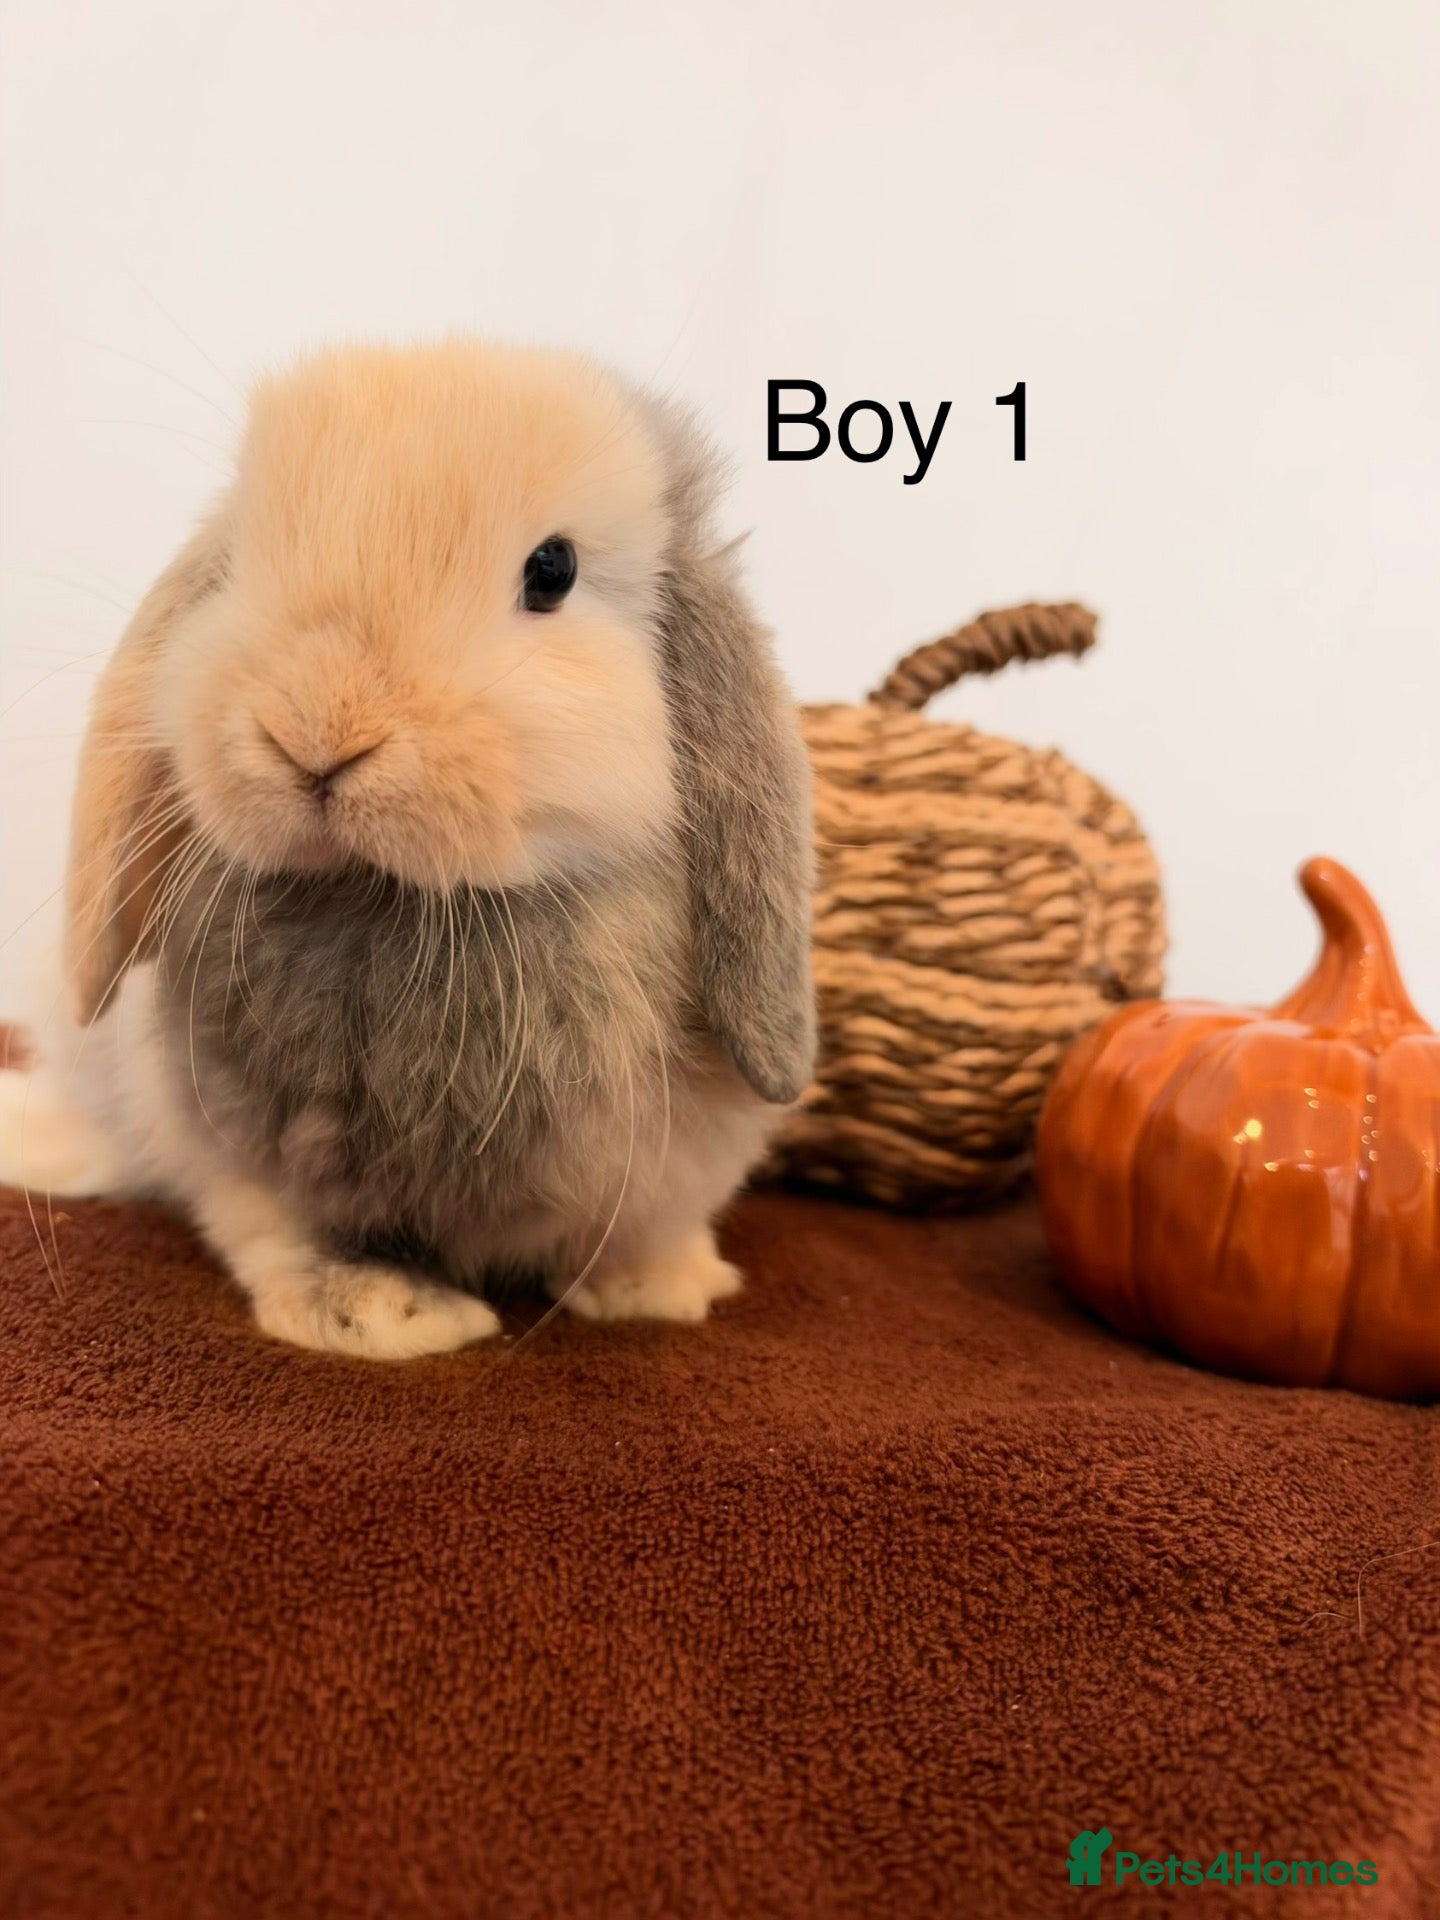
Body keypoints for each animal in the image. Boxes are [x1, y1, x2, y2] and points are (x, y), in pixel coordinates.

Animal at [0, 339, 815, 1359]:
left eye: (553, 571)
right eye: (238, 564)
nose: (316, 730)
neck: (395, 900)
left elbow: (649, 1227)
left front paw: (656, 1293)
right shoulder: (242, 1143)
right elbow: (275, 1224)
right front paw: (382, 1313)